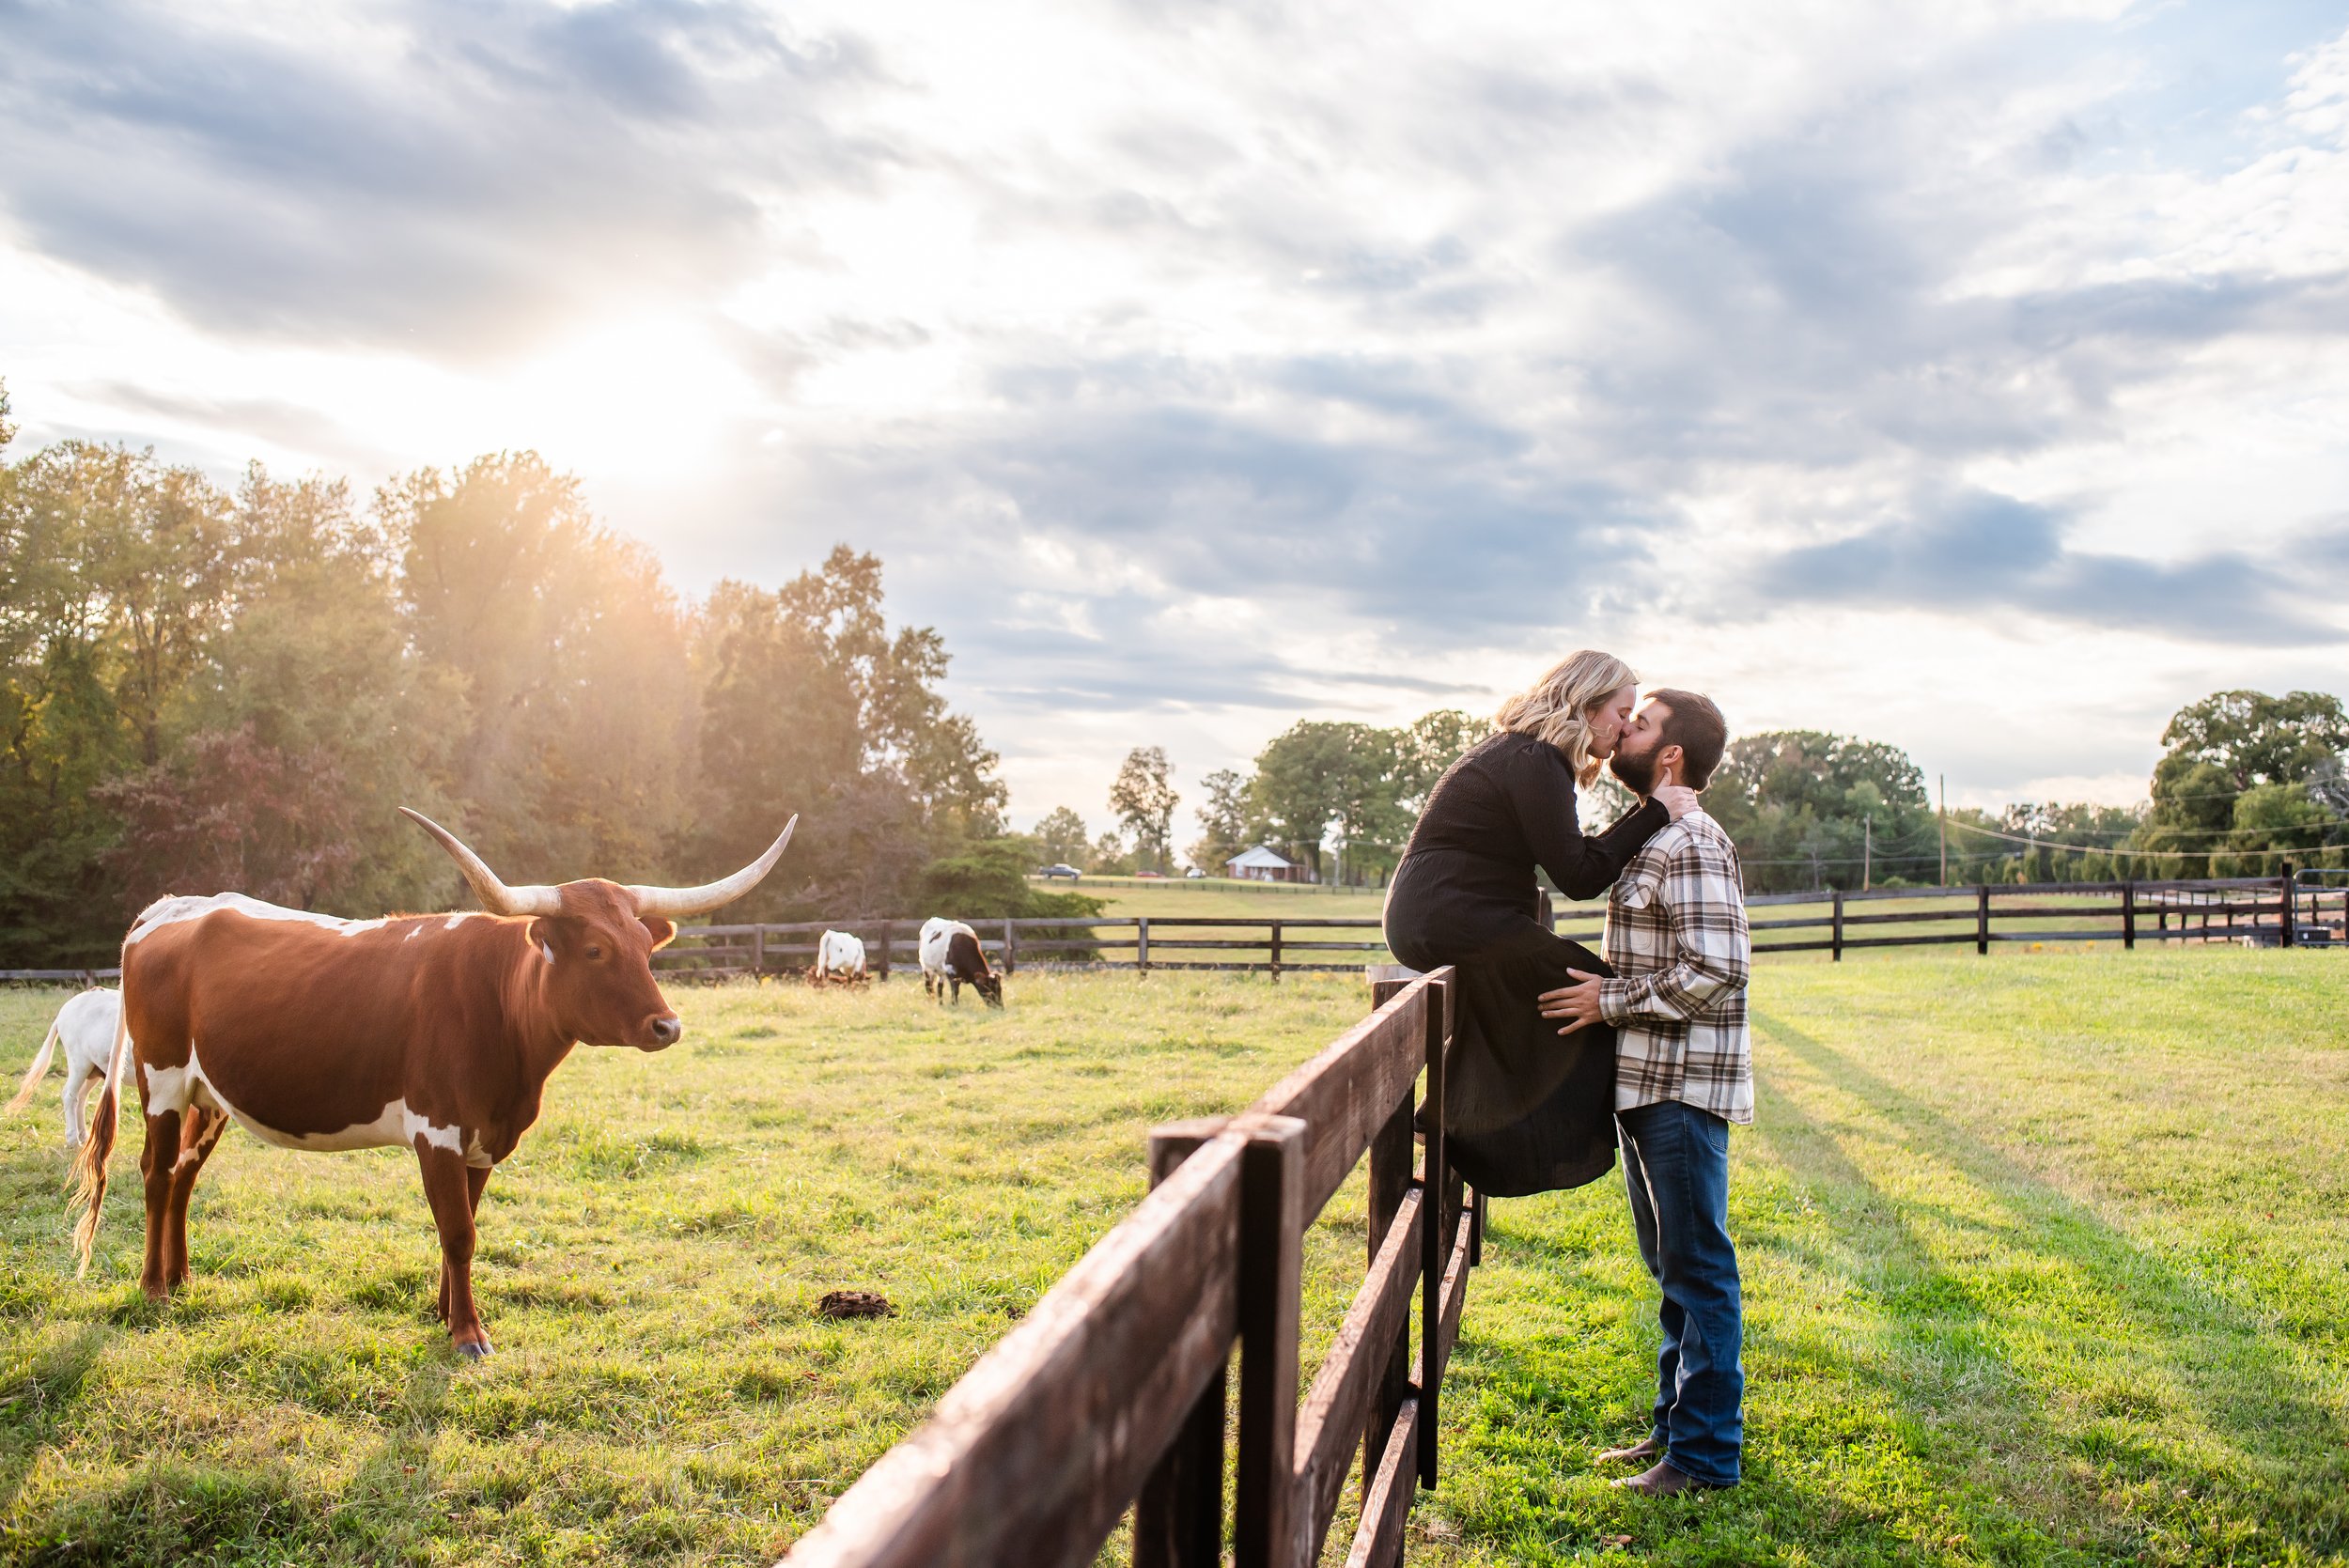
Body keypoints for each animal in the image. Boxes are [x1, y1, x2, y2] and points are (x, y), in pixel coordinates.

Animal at [7, 990, 125, 1150]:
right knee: (69, 1095)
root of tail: (63, 1011)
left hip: (95, 1068)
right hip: (80, 1064)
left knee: (81, 1096)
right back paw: (73, 1140)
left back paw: (84, 1136)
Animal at [69, 807, 799, 1361]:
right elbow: (458, 1232)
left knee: (184, 1176)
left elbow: (464, 1227)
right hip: (161, 1083)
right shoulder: (438, 1129)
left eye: (647, 949)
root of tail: (169, 910)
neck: (500, 1009)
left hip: (211, 1096)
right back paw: (153, 1288)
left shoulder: (484, 1137)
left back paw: (182, 1277)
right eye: (596, 950)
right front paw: (468, 1334)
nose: (666, 1025)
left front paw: (443, 1312)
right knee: (156, 1174)